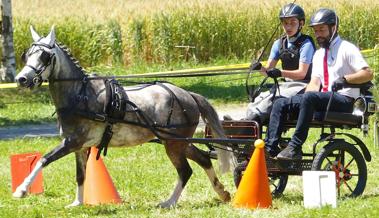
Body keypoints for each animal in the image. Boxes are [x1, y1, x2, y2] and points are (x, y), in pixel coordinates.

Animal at [12, 26, 235, 207]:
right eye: (27, 55)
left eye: (44, 56)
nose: (21, 79)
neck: (80, 94)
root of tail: (188, 95)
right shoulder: (80, 146)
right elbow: (80, 175)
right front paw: (77, 203)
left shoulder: (72, 142)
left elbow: (44, 159)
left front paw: (21, 190)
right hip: (178, 142)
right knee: (203, 159)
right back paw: (222, 193)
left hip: (173, 143)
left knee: (185, 170)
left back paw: (169, 202)